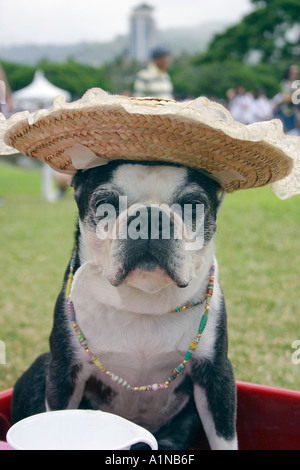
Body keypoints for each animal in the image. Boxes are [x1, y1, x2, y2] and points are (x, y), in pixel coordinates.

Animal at [11, 162, 237, 452]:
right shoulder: (63, 370)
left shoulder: (216, 374)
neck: (142, 299)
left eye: (193, 204)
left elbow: (224, 439)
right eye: (104, 204)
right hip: (44, 364)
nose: (150, 217)